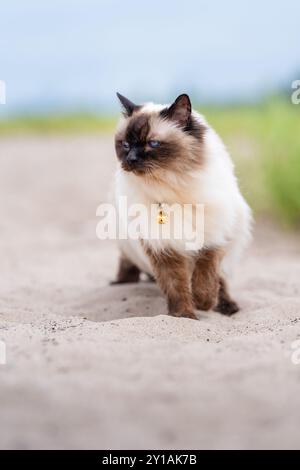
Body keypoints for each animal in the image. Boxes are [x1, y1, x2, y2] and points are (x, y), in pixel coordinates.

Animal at [112, 92, 251, 320]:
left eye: (153, 143)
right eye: (125, 144)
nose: (131, 159)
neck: (171, 186)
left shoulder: (212, 240)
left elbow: (206, 277)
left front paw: (204, 303)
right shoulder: (164, 248)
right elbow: (177, 287)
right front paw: (185, 316)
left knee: (221, 280)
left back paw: (227, 307)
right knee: (127, 264)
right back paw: (120, 283)